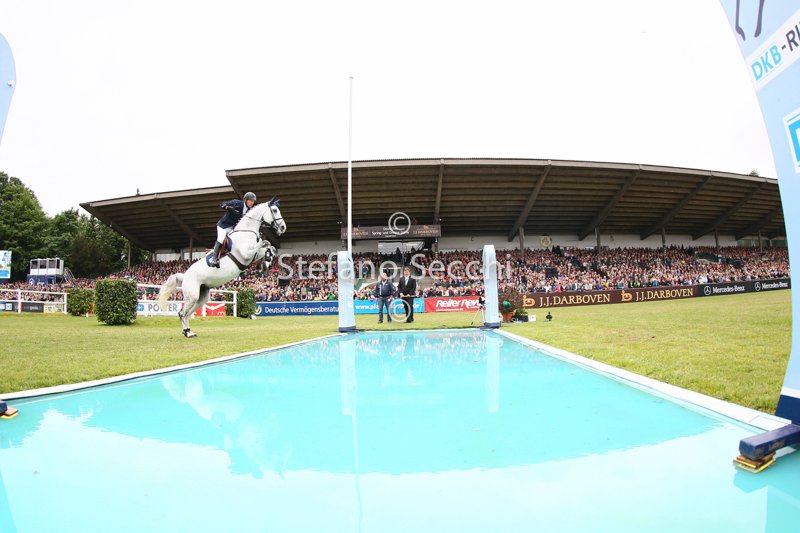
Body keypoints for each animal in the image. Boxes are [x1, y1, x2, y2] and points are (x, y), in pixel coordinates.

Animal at [158, 199, 286, 337]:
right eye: (275, 210)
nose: (283, 227)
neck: (246, 232)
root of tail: (184, 275)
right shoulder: (246, 254)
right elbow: (263, 243)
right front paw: (265, 256)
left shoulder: (252, 255)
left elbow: (269, 246)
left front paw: (266, 262)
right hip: (192, 296)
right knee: (182, 313)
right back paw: (187, 333)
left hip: (202, 297)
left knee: (187, 313)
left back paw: (189, 331)